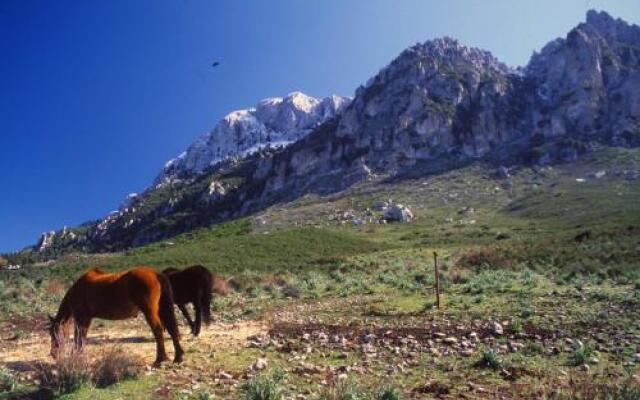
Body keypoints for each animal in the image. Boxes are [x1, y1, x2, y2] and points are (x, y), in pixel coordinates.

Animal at [46, 266, 182, 366]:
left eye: (54, 333)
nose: (53, 354)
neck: (78, 289)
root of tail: (155, 273)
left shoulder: (81, 318)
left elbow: (78, 338)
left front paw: (77, 356)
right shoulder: (86, 319)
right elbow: (82, 338)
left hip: (150, 312)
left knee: (158, 330)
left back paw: (159, 359)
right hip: (162, 310)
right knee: (172, 329)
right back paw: (178, 357)